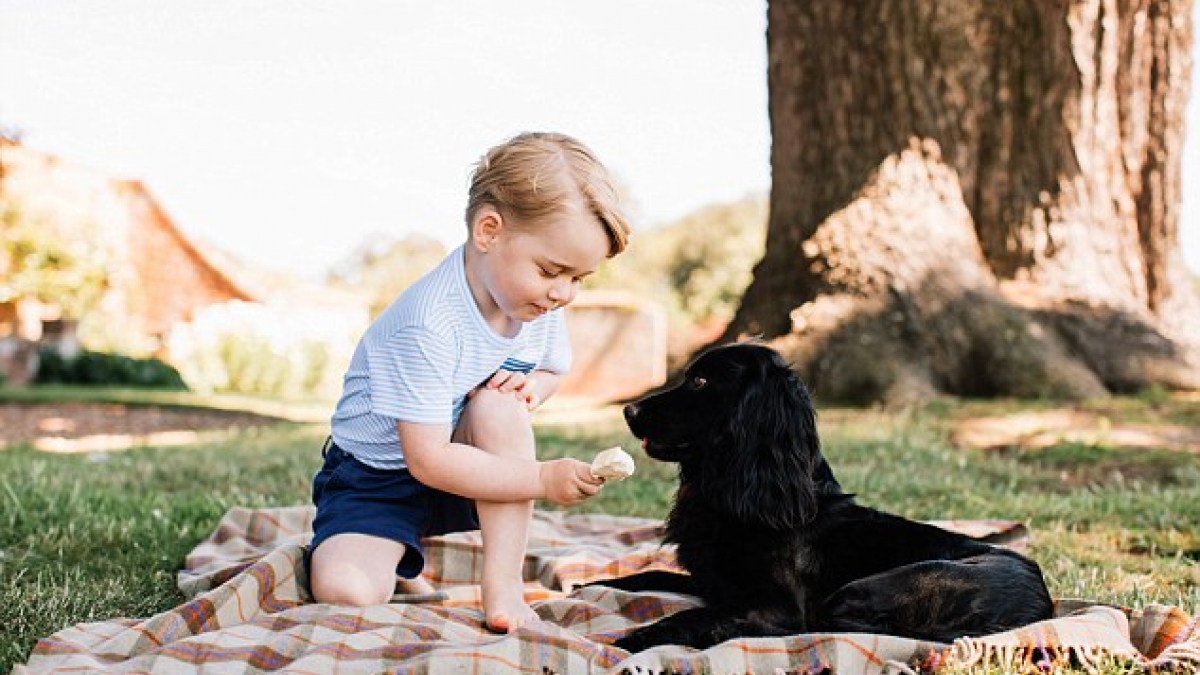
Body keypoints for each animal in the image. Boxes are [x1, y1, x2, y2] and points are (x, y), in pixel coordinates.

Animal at [595, 343, 1056, 648]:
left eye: (701, 380)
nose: (629, 410)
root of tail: (1042, 607)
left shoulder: (777, 607)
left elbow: (699, 613)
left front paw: (635, 638)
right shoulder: (713, 582)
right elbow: (645, 577)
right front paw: (592, 584)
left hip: (865, 589)